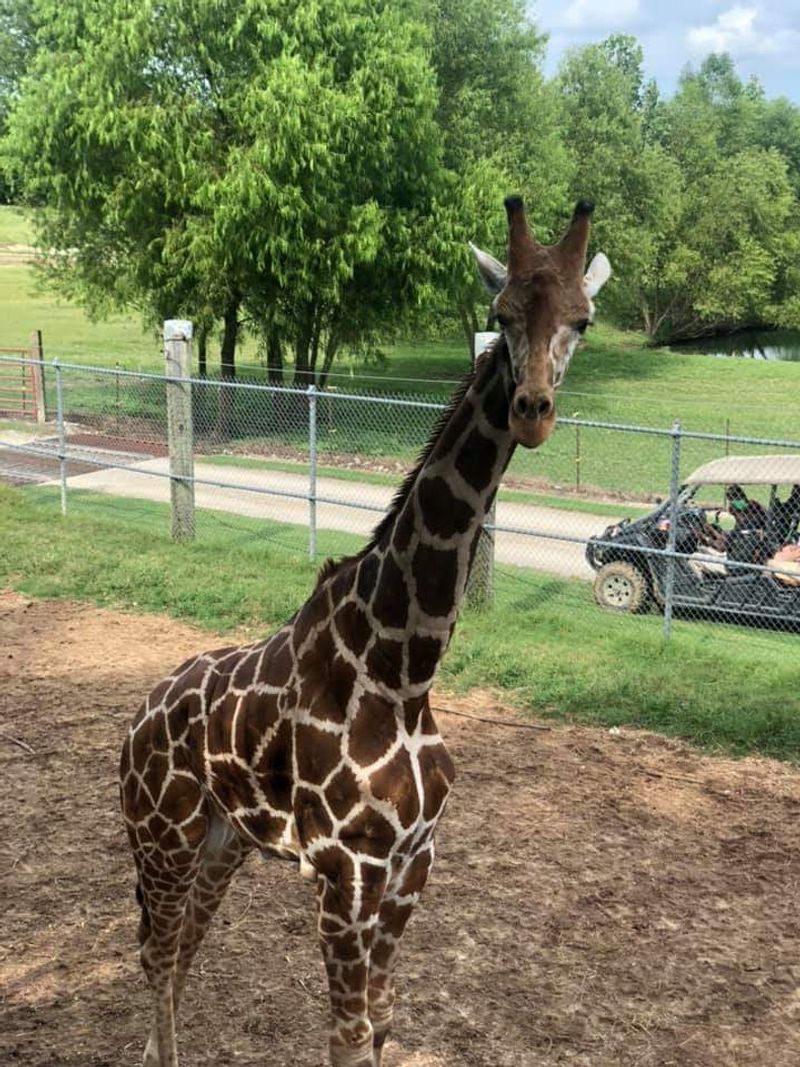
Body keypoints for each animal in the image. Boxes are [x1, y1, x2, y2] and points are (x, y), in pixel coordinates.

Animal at [119, 196, 612, 1067]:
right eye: (501, 313)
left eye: (582, 319)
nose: (532, 410)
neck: (405, 664)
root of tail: (131, 725)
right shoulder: (345, 873)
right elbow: (348, 1036)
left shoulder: (413, 863)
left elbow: (381, 1021)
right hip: (162, 836)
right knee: (157, 950)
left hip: (219, 842)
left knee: (177, 953)